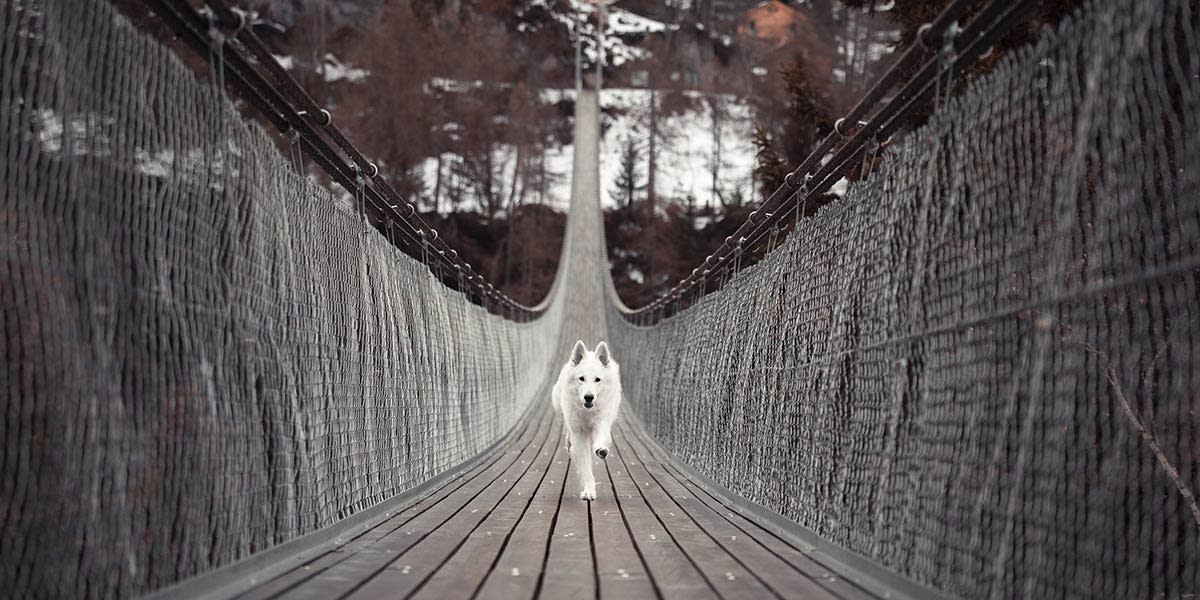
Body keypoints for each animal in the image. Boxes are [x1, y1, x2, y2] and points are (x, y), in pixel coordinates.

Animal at [552, 340, 624, 499]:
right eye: (582, 379)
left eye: (597, 380)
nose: (589, 397)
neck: (587, 412)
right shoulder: (579, 434)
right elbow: (585, 467)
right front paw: (589, 491)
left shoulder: (601, 422)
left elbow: (601, 439)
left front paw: (601, 449)